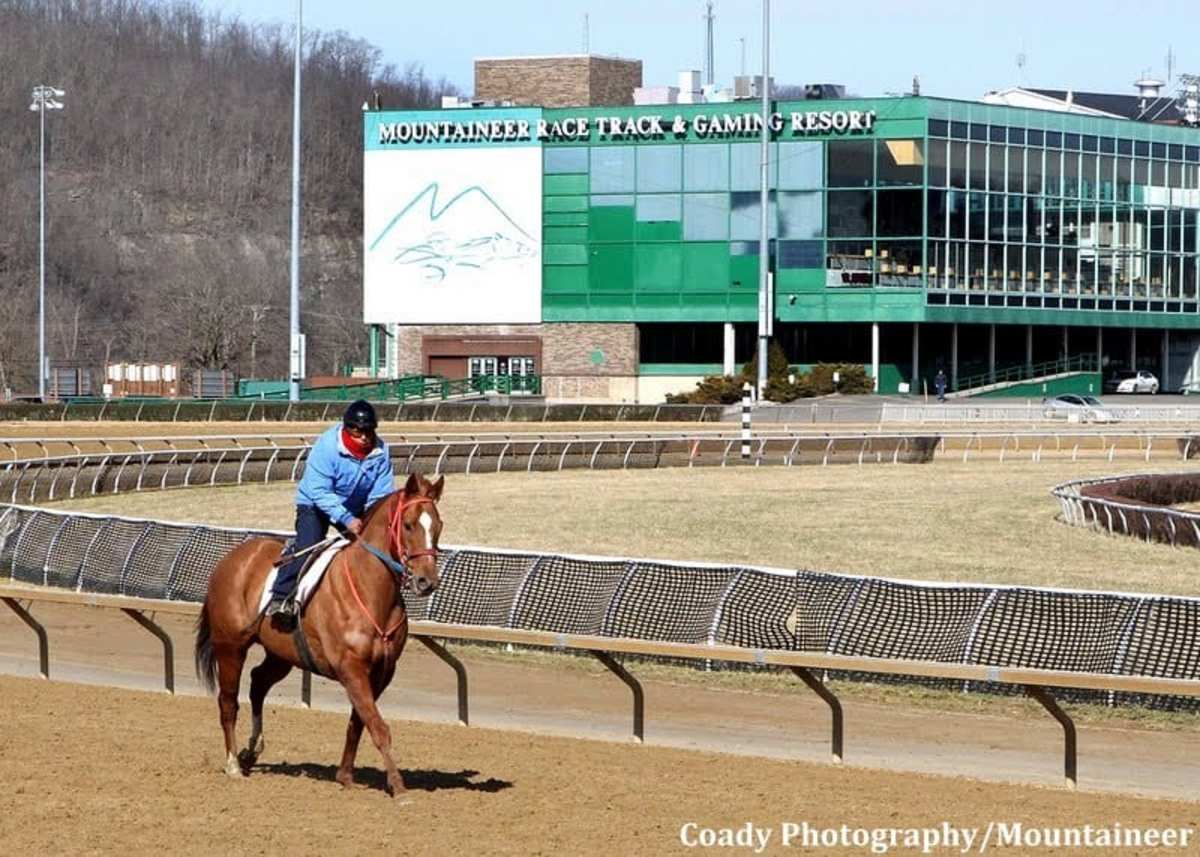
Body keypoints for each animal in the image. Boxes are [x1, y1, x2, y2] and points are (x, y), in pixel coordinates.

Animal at [194, 468, 444, 792]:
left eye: (438, 525)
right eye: (409, 524)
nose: (427, 581)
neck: (371, 591)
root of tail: (230, 559)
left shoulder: (382, 671)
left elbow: (359, 722)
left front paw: (346, 776)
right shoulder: (351, 667)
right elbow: (378, 726)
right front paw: (398, 787)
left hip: (281, 653)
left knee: (258, 682)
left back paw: (252, 750)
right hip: (230, 647)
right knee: (228, 702)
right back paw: (234, 763)